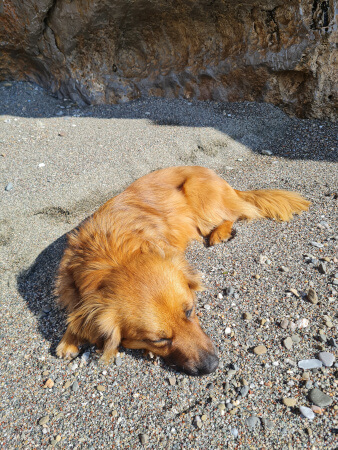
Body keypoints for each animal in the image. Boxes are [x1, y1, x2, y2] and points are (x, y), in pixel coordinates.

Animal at [54, 167, 310, 374]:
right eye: (159, 340)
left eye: (189, 311)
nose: (211, 366)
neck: (113, 255)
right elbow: (76, 314)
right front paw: (69, 338)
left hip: (198, 194)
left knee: (233, 214)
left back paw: (220, 233)